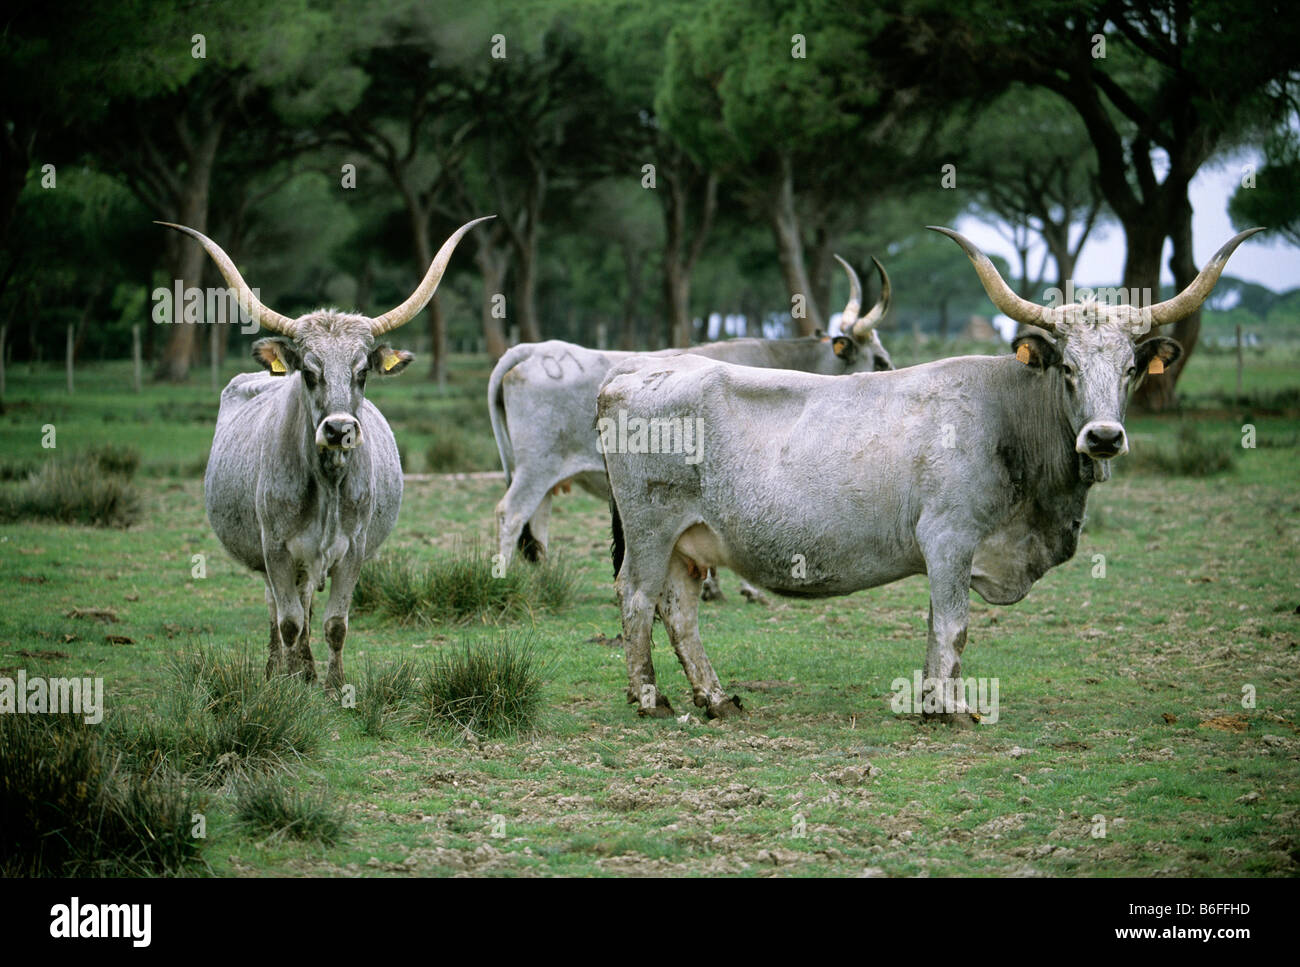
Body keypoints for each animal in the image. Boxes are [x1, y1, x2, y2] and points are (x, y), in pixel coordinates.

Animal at [158, 216, 492, 690]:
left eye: (362, 372)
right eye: (309, 371)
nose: (338, 430)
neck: (328, 483)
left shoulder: (353, 550)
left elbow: (335, 623)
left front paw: (333, 684)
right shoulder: (276, 549)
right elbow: (289, 622)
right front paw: (285, 682)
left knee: (305, 605)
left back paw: (308, 670)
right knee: (280, 610)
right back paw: (280, 669)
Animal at [488, 255, 895, 598]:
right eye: (878, 360)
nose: (891, 374)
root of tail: (534, 349)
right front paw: (743, 589)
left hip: (544, 473)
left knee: (537, 519)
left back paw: (543, 576)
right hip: (537, 466)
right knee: (512, 513)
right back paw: (505, 578)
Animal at [599, 226, 1261, 721]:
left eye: (1130, 368)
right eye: (1068, 367)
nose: (1102, 437)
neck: (1010, 416)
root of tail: (625, 377)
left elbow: (935, 628)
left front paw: (929, 699)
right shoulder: (948, 539)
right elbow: (953, 627)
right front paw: (949, 708)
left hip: (689, 542)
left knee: (679, 609)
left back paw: (713, 698)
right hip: (651, 529)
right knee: (636, 597)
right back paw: (649, 697)